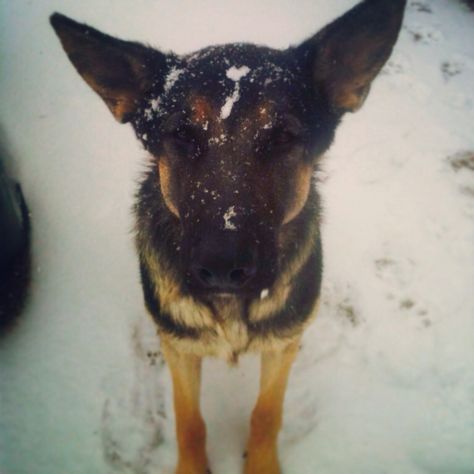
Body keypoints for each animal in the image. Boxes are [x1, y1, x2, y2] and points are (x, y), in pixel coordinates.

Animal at [51, 1, 408, 472]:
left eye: (282, 137)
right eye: (182, 135)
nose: (221, 268)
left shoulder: (283, 345)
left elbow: (266, 412)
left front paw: (261, 463)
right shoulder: (180, 350)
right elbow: (188, 419)